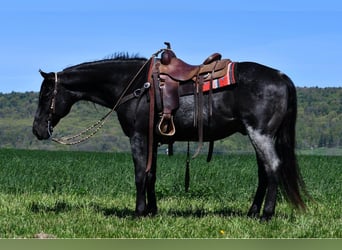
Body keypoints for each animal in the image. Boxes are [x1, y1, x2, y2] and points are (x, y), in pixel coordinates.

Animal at [33, 47, 308, 221]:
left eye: (46, 94)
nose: (37, 130)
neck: (133, 85)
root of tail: (281, 77)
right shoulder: (153, 139)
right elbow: (151, 175)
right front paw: (152, 211)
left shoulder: (138, 136)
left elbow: (140, 175)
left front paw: (138, 213)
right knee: (264, 172)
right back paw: (252, 213)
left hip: (260, 134)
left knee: (273, 168)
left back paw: (266, 215)